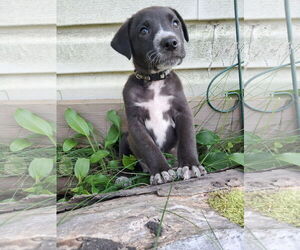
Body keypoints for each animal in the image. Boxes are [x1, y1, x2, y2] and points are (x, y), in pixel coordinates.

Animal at [110, 6, 206, 186]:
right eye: (143, 30)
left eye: (175, 23)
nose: (170, 42)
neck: (154, 80)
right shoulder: (135, 122)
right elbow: (149, 147)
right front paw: (161, 171)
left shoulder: (182, 111)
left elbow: (187, 140)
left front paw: (190, 166)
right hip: (125, 138)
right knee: (124, 159)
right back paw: (123, 177)